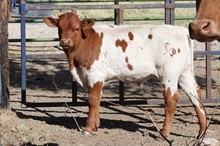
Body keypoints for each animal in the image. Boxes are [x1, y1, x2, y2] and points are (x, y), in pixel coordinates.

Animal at [44, 13, 206, 141]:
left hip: (169, 74)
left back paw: (162, 135)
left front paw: (88, 129)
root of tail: (181, 30)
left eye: (76, 28)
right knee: (195, 94)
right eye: (59, 28)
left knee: (171, 100)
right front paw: (96, 126)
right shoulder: (95, 78)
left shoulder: (95, 75)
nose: (65, 42)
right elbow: (97, 100)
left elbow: (92, 101)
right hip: (184, 72)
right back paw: (201, 132)